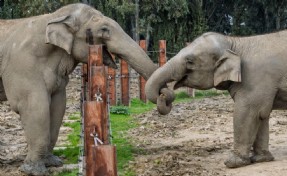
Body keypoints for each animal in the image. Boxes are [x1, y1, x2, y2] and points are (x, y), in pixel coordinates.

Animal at [0, 3, 160, 175]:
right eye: (104, 29)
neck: (54, 17)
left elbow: (58, 106)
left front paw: (53, 162)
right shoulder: (22, 66)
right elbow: (34, 107)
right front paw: (35, 171)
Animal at [145, 31, 287, 169]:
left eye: (190, 61)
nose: (163, 94)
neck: (235, 43)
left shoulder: (255, 79)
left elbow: (248, 113)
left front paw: (233, 163)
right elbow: (262, 115)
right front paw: (261, 159)